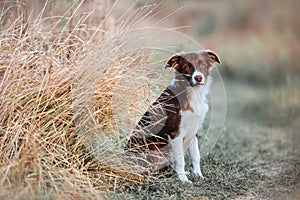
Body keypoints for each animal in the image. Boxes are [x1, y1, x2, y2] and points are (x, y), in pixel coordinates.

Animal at [124, 48, 220, 183]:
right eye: (187, 67)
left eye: (202, 65)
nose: (198, 78)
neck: (193, 94)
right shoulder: (175, 134)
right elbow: (180, 160)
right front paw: (184, 180)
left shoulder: (193, 132)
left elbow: (196, 156)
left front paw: (198, 175)